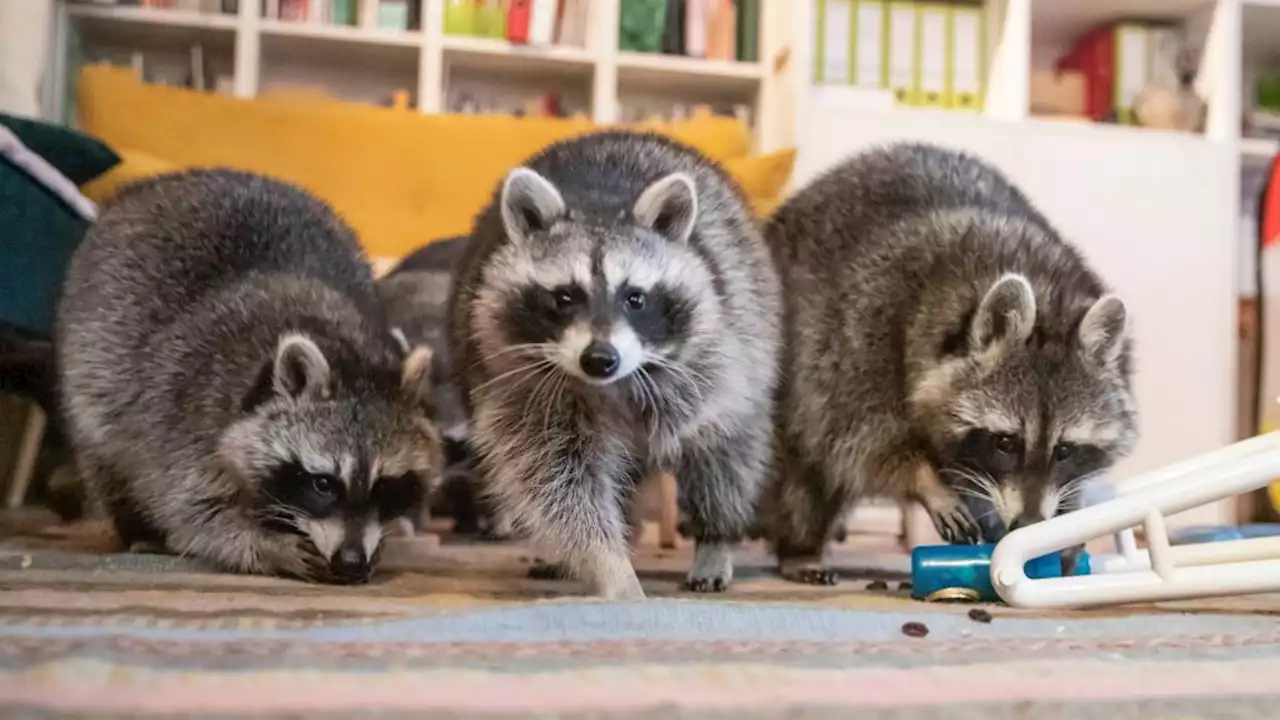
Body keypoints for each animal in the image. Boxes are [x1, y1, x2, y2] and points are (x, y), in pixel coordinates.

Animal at [58, 169, 445, 584]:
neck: (337, 344)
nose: (352, 561)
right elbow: (193, 513)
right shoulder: (185, 413)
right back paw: (136, 527)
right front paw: (266, 544)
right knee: (104, 444)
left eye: (385, 485)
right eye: (323, 483)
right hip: (93, 353)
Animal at [450, 131, 778, 597]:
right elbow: (555, 475)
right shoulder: (517, 382)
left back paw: (715, 535)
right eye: (564, 296)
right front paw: (608, 564)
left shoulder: (716, 352)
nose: (601, 360)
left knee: (727, 454)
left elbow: (705, 434)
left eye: (635, 298)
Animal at [752, 144, 1136, 584]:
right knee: (802, 478)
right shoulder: (861, 340)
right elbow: (862, 444)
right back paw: (800, 549)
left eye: (1066, 450)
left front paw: (1066, 518)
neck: (1044, 292)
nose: (1026, 524)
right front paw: (925, 481)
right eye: (1006, 442)